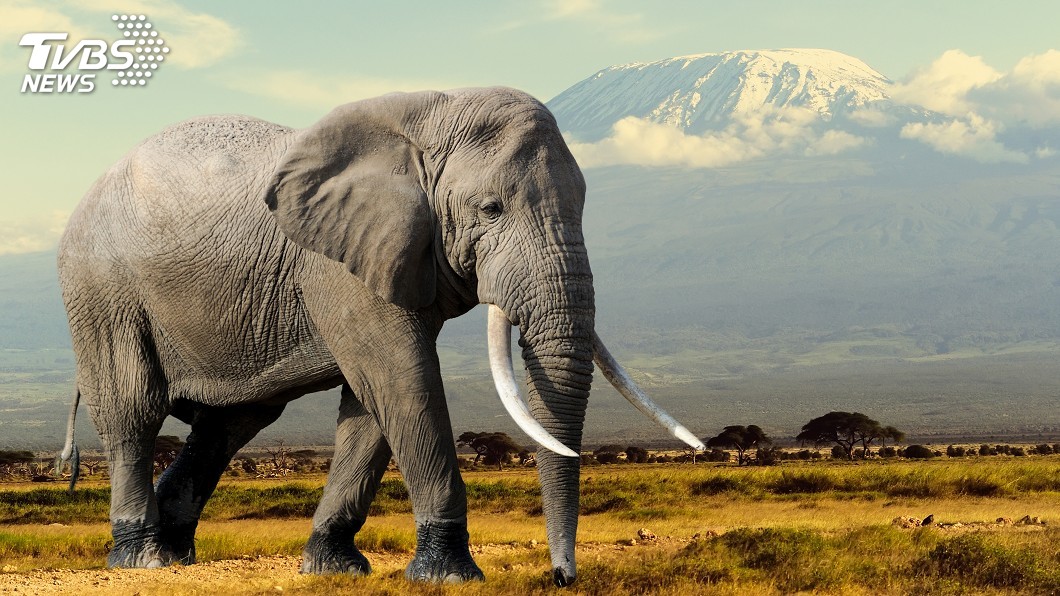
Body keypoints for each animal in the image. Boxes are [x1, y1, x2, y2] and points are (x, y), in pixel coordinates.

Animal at [55, 87, 703, 586]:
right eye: (490, 209)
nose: (561, 577)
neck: (430, 113)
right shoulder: (341, 262)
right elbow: (401, 377)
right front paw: (448, 575)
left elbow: (371, 403)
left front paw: (332, 568)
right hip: (101, 288)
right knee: (134, 409)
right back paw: (142, 558)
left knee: (231, 423)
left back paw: (174, 551)